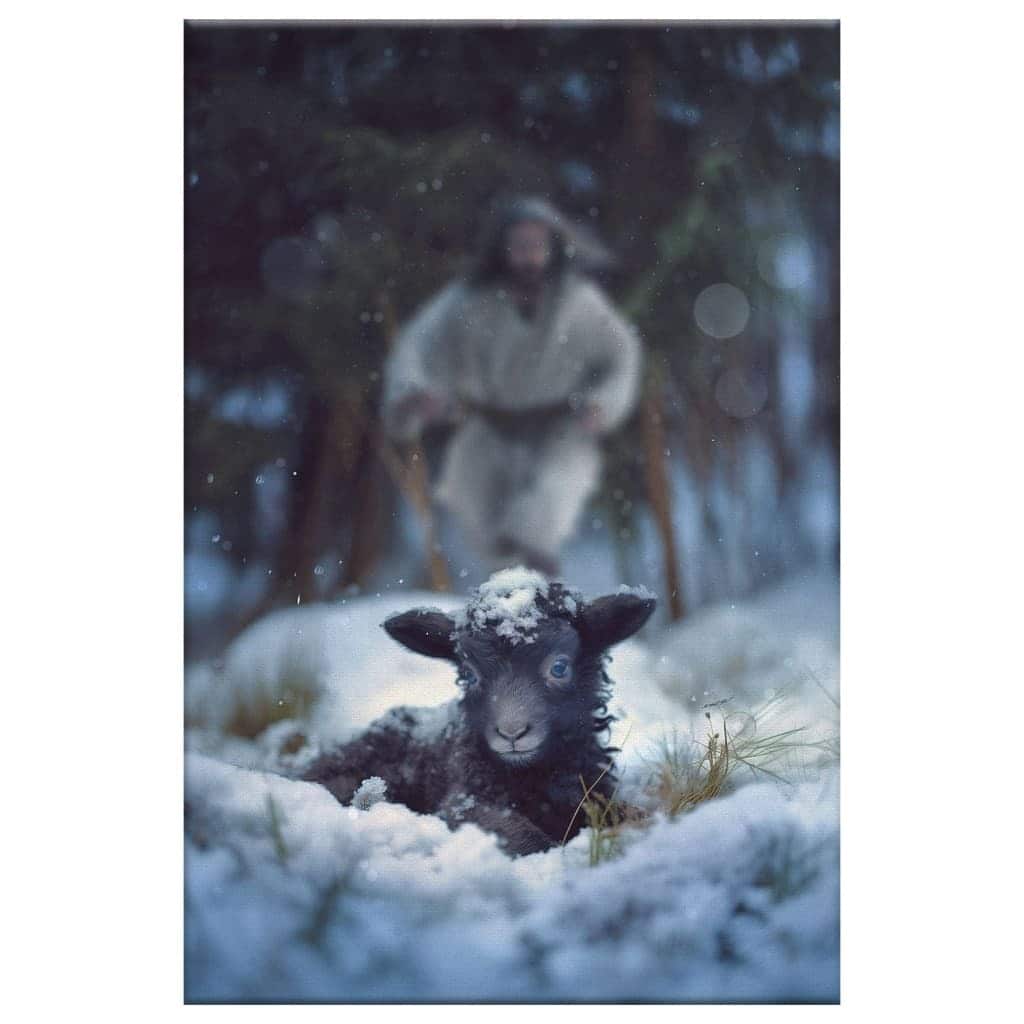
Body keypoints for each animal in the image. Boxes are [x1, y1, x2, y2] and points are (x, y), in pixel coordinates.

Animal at [302, 568, 656, 856]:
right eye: (470, 674)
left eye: (559, 667)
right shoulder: (464, 804)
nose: (512, 733)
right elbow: (525, 838)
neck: (532, 775)